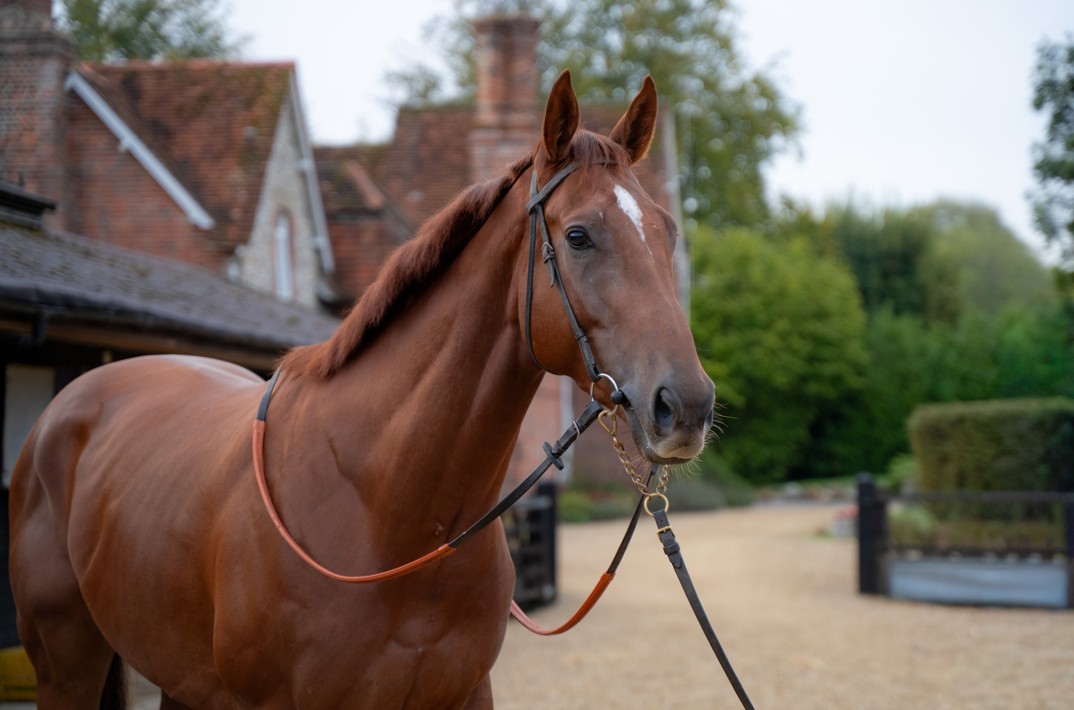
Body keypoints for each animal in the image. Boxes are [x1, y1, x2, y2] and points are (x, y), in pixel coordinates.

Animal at [9, 70, 715, 709]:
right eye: (578, 236)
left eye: (668, 231)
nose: (686, 405)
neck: (387, 510)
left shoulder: (466, 695)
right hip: (66, 664)